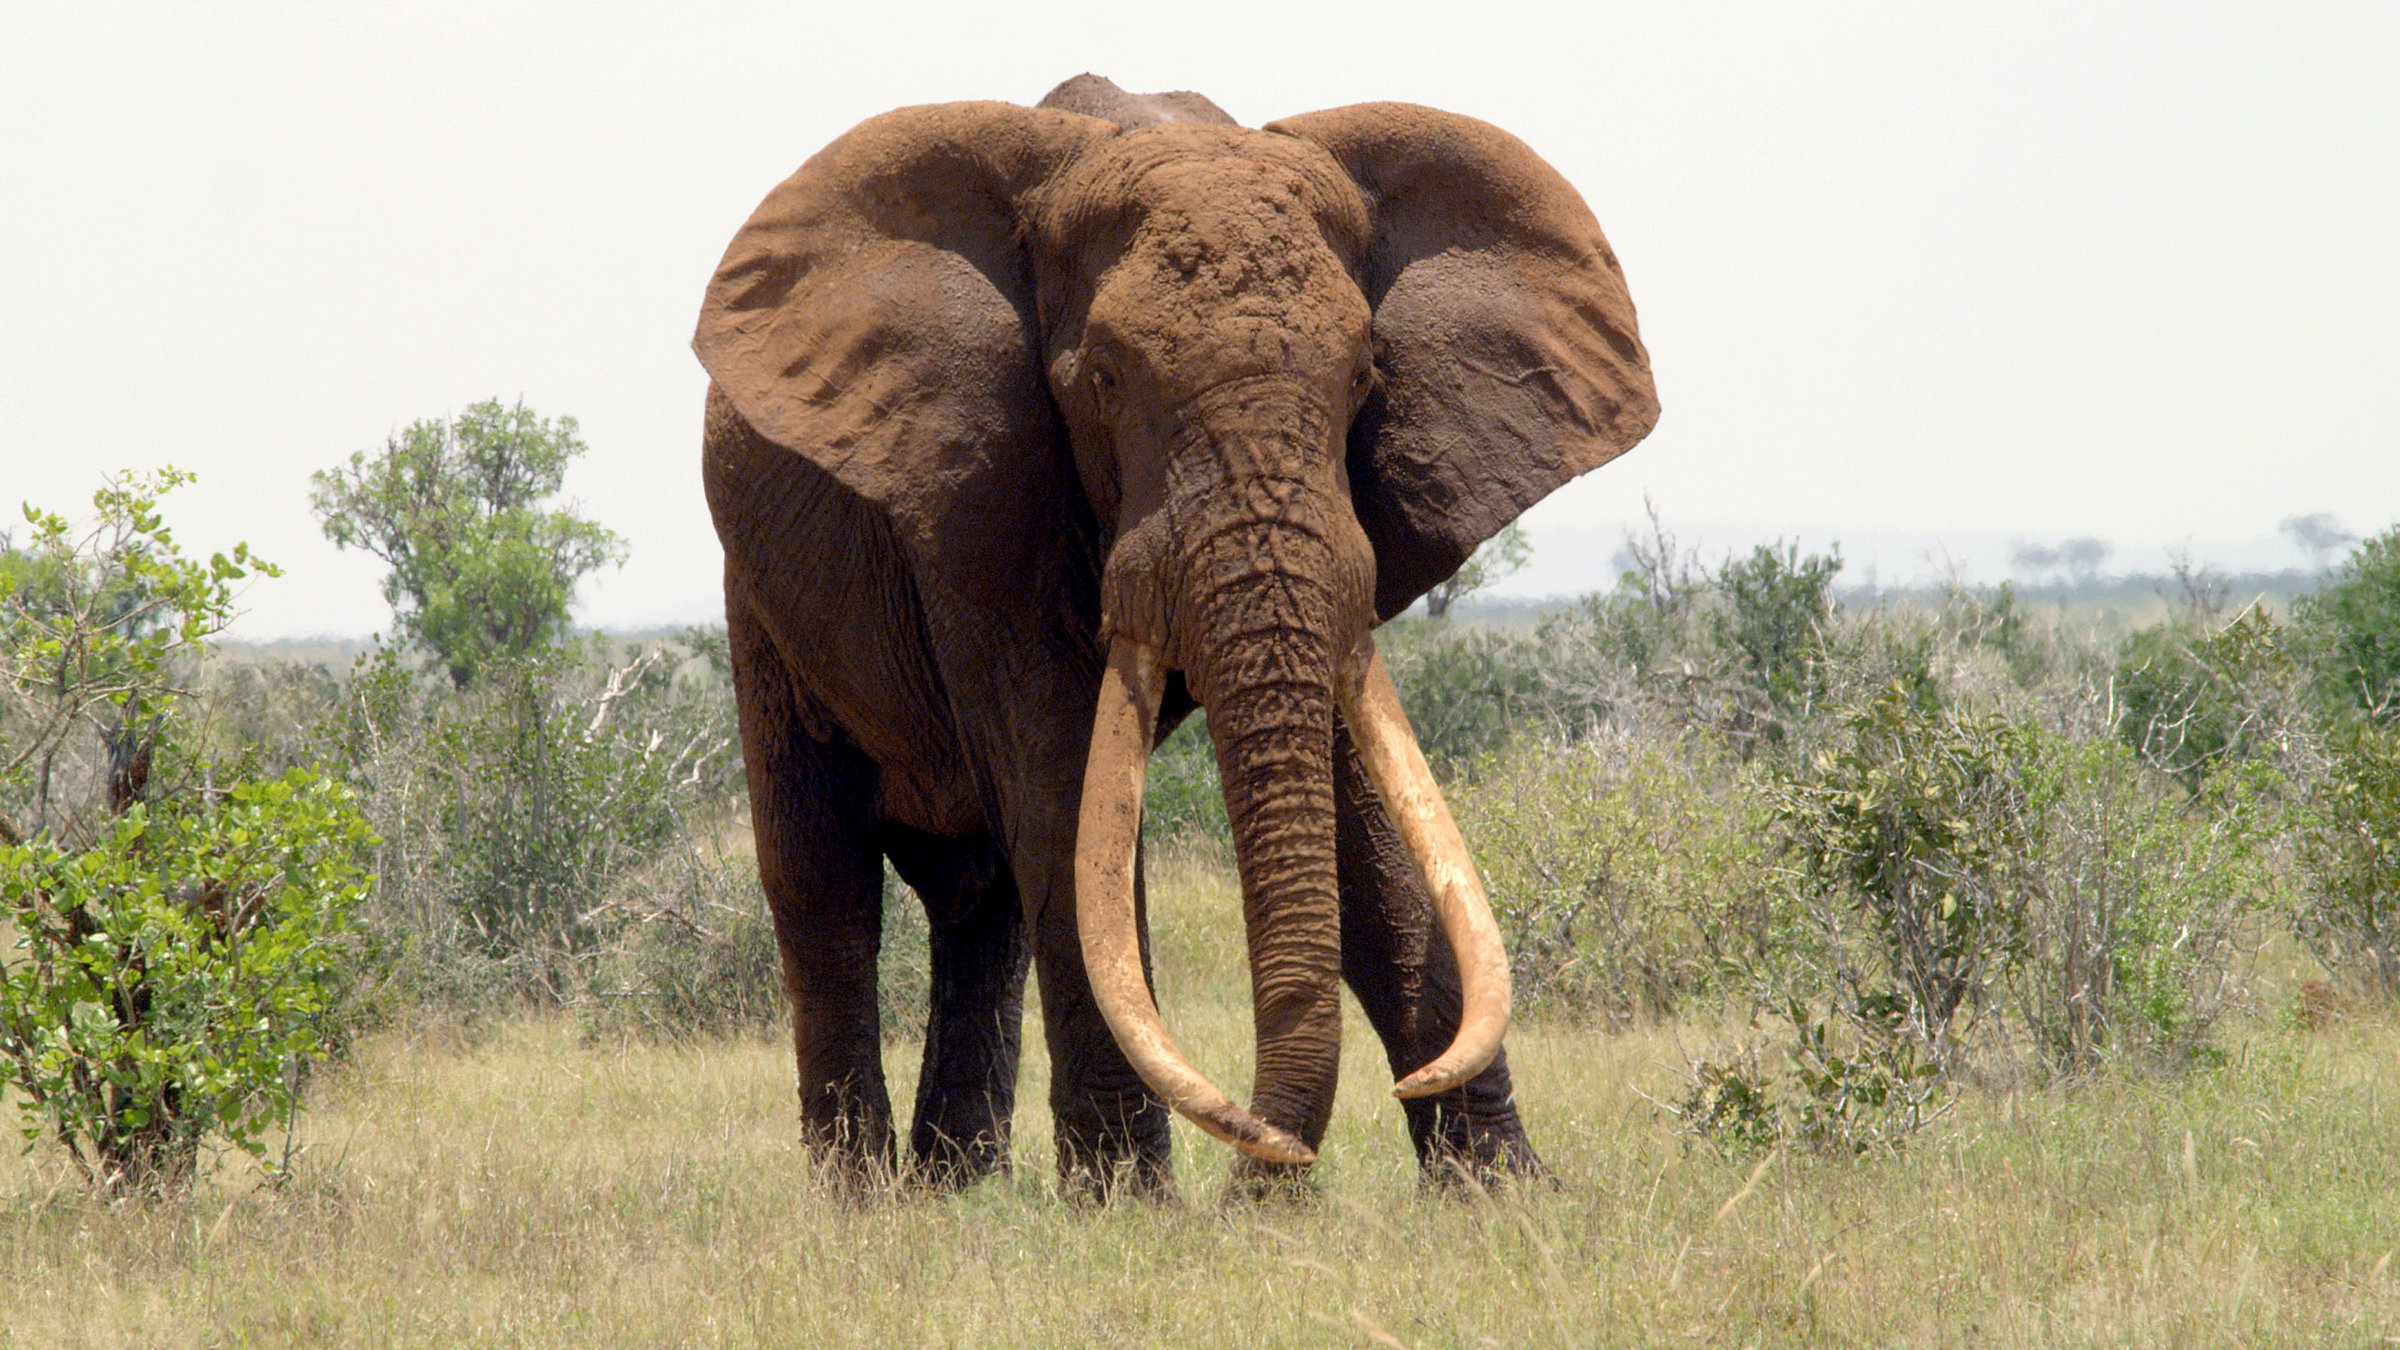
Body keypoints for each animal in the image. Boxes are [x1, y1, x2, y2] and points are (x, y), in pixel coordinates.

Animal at [696, 74, 1656, 1199]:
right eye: (1104, 379)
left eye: (1364, 378)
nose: (1268, 1165)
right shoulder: (982, 488)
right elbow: (1064, 789)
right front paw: (1127, 1207)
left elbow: (1355, 802)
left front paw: (1497, 1193)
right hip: (760, 600)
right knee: (824, 881)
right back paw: (864, 1203)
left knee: (980, 896)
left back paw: (956, 1190)